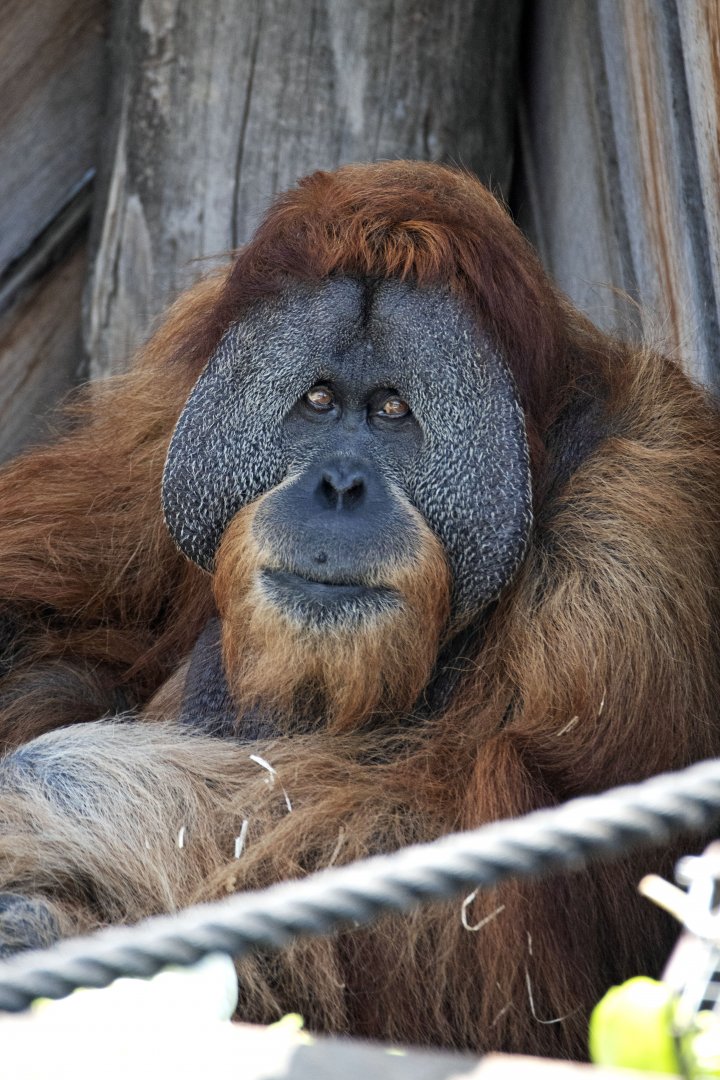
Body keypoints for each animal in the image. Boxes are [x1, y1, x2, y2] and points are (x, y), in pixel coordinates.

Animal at [0, 161, 717, 1060]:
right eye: (317, 401)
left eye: (390, 410)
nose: (338, 486)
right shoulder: (159, 421)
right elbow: (48, 617)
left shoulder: (636, 541)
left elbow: (496, 892)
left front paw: (42, 802)